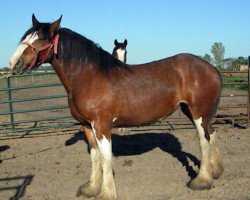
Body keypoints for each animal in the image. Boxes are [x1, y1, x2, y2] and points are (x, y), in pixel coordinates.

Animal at [9, 14, 223, 200]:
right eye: (25, 36)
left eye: (41, 38)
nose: (13, 63)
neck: (89, 77)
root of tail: (211, 68)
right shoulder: (87, 126)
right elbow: (94, 156)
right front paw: (91, 188)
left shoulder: (101, 126)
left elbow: (106, 158)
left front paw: (106, 194)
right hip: (194, 112)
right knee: (212, 134)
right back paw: (216, 171)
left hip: (198, 113)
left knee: (204, 141)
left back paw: (201, 180)